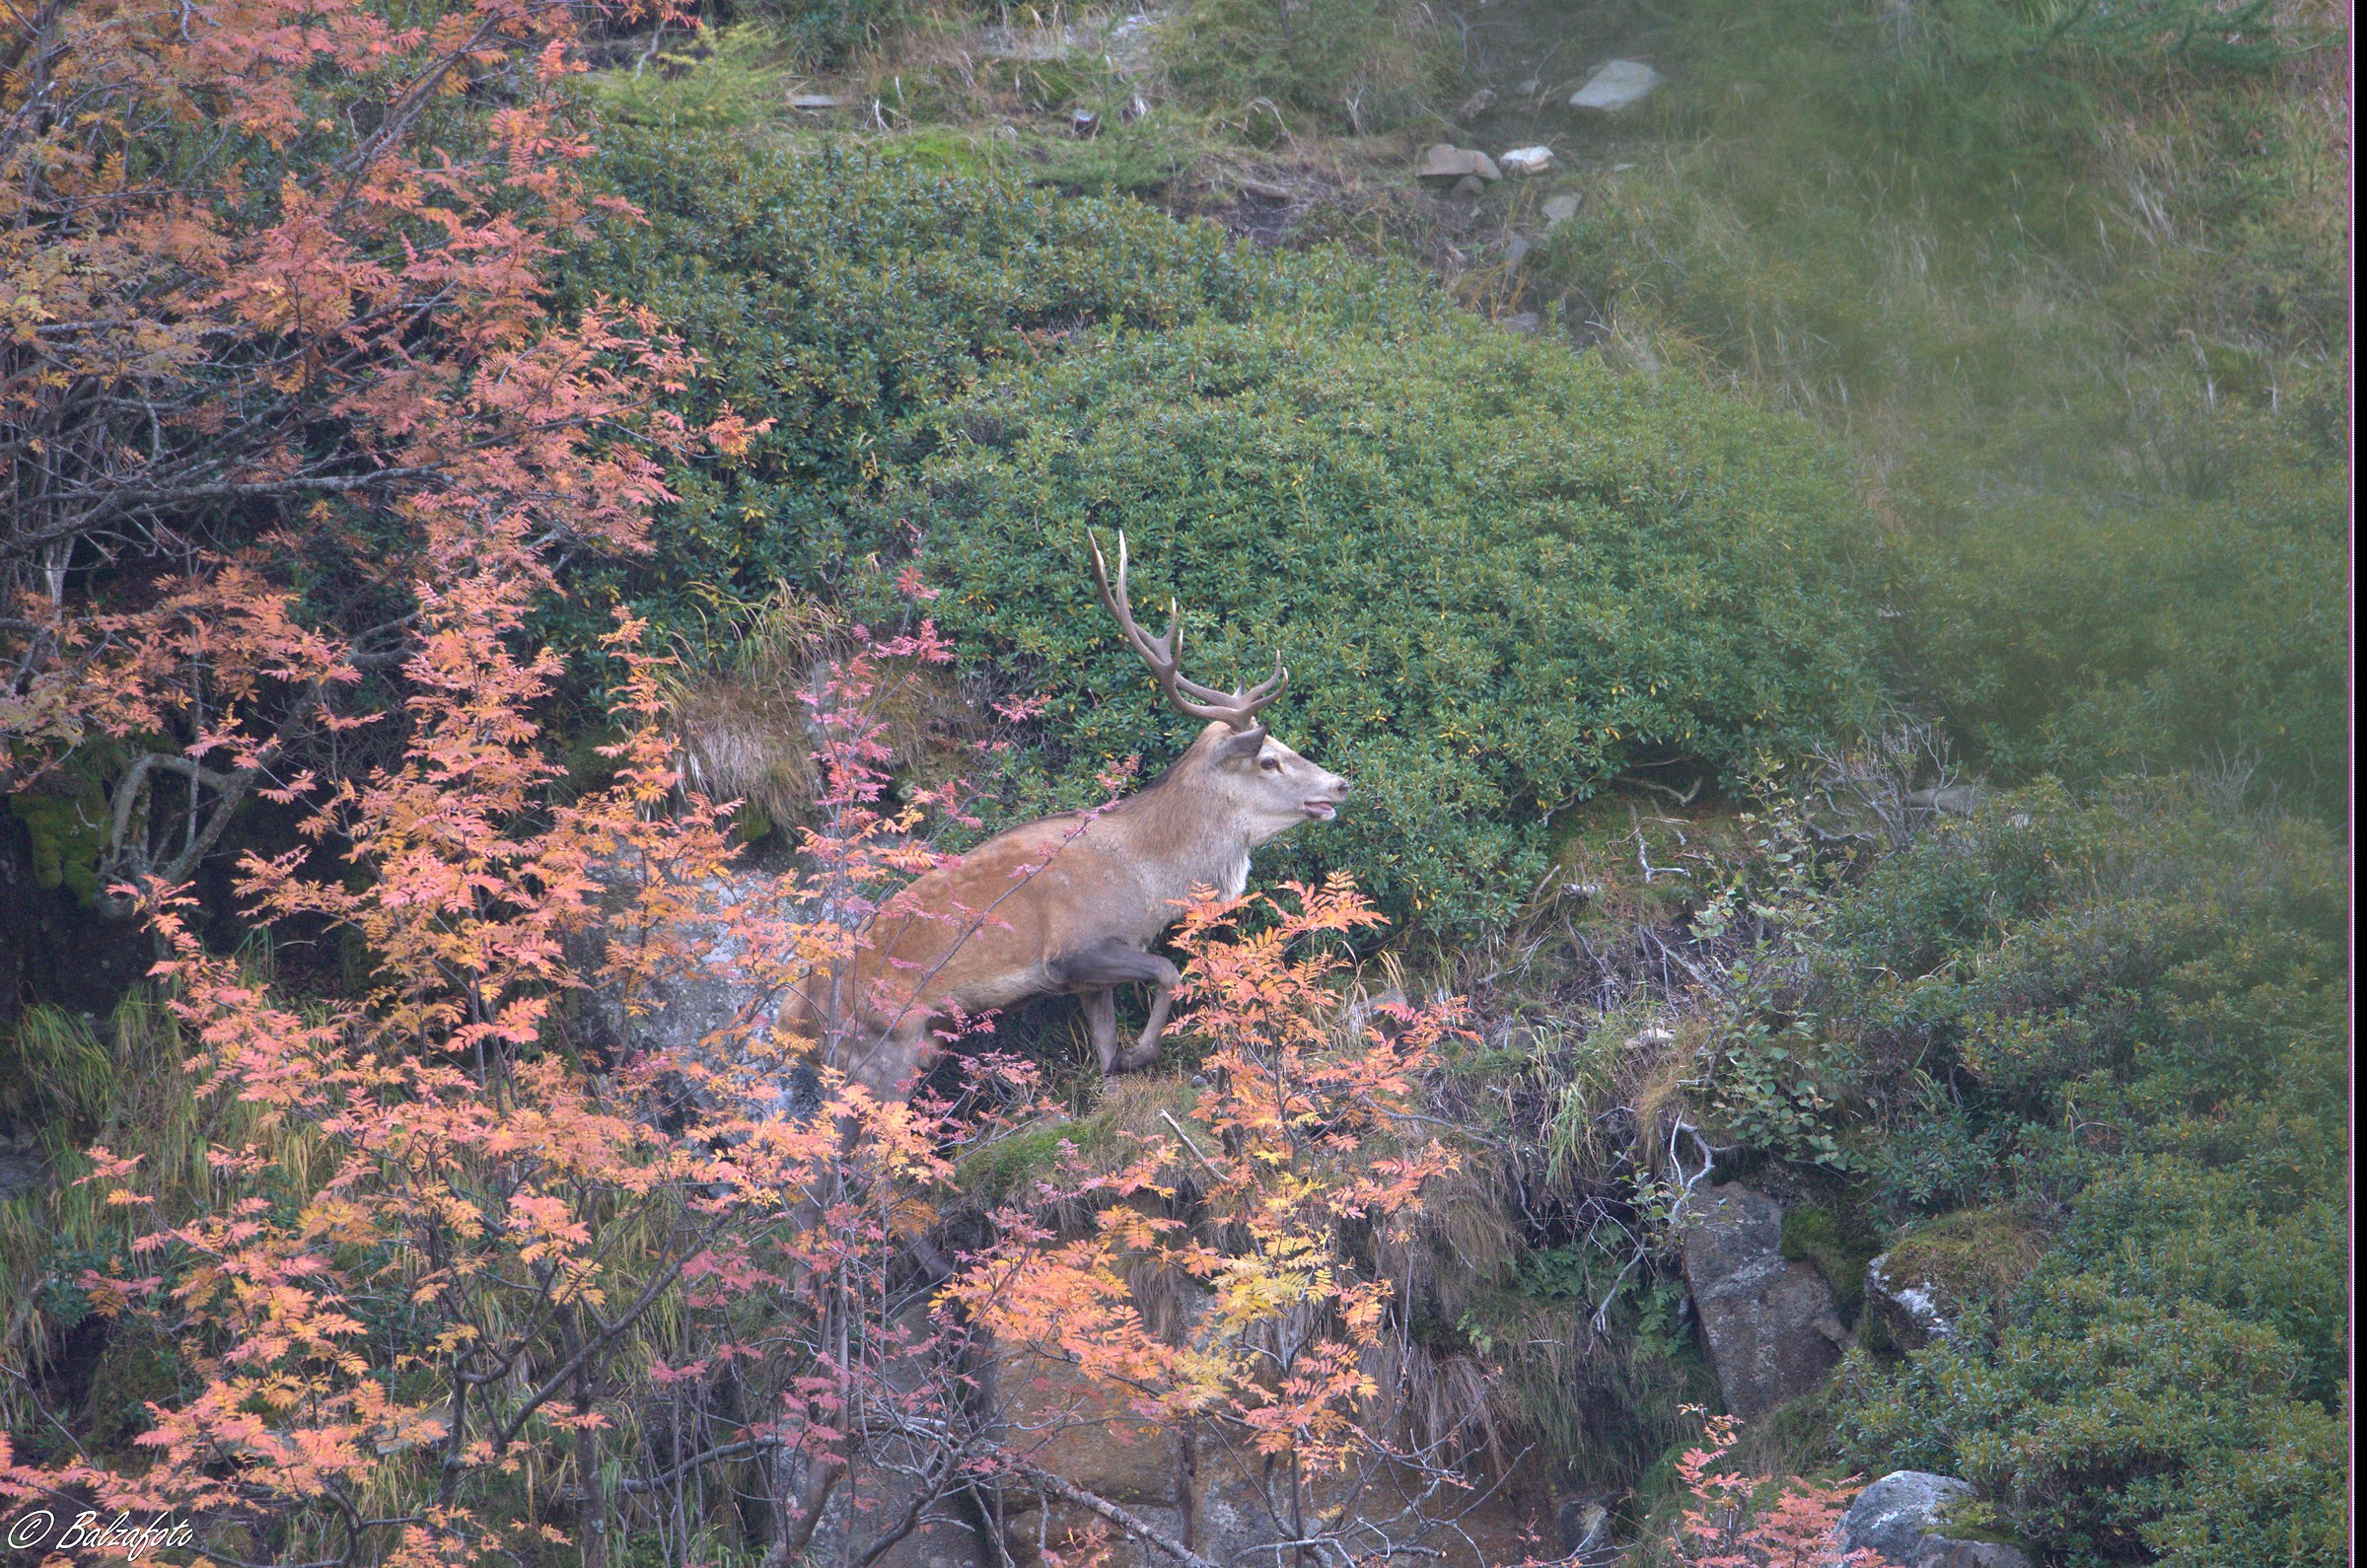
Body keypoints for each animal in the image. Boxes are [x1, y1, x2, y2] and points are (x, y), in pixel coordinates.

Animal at [799, 532, 1350, 1101]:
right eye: (1269, 760)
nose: (1340, 783)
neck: (1148, 882)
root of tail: (796, 1014)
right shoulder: (1074, 949)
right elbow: (1168, 970)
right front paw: (1139, 1054)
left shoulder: (1088, 982)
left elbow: (1104, 1052)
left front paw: (1119, 1066)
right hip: (881, 1048)